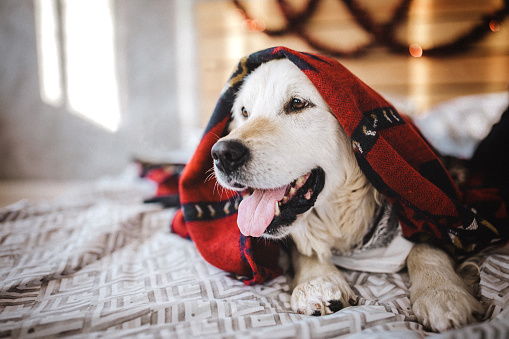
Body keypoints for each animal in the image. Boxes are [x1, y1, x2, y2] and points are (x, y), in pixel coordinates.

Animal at [210, 57, 484, 332]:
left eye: (297, 103)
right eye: (244, 112)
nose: (222, 154)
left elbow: (428, 245)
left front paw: (442, 293)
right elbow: (305, 248)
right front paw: (318, 281)